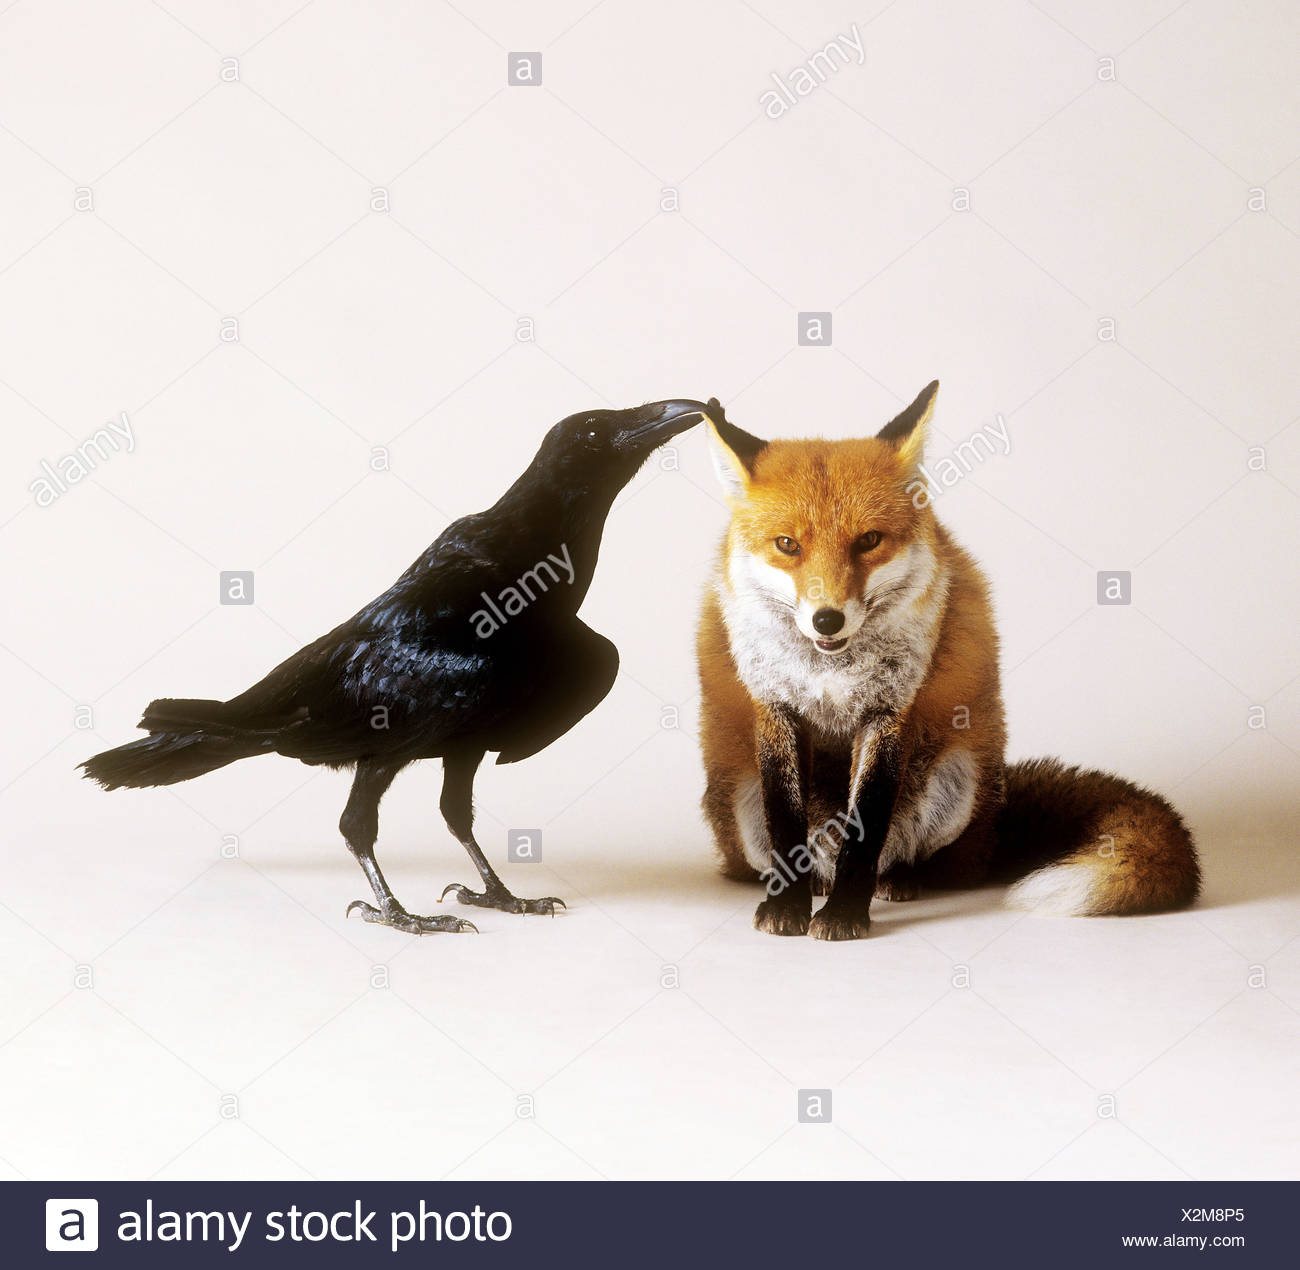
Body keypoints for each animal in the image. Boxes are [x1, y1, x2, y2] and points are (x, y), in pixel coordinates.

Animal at [696, 382, 1200, 941]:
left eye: (868, 541)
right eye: (787, 545)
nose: (827, 620)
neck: (831, 671)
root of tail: (995, 825)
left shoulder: (890, 711)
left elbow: (866, 827)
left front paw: (847, 913)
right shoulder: (775, 709)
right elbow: (786, 823)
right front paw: (787, 906)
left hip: (958, 779)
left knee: (916, 858)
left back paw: (895, 880)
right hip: (740, 803)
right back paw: (820, 884)